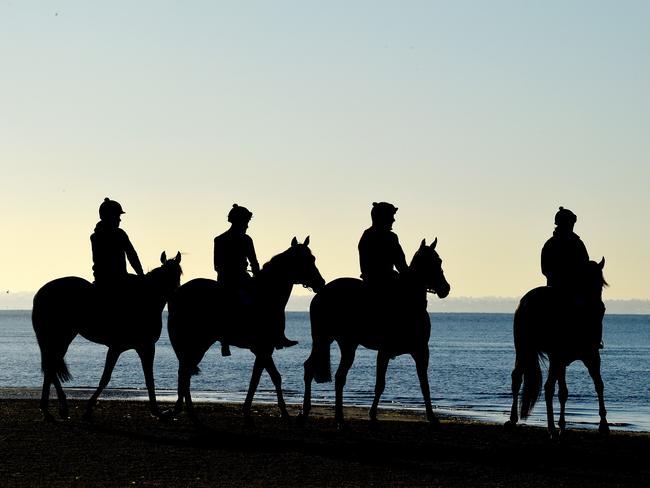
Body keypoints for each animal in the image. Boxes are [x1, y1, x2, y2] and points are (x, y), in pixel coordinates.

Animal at [32, 254, 181, 422]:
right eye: (167, 275)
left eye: (179, 274)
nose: (176, 297)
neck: (145, 301)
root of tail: (40, 293)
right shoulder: (127, 347)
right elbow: (108, 377)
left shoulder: (140, 347)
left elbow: (147, 378)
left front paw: (157, 411)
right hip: (61, 337)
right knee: (51, 367)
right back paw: (53, 410)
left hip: (60, 338)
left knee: (51, 367)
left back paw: (55, 410)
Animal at [167, 238, 324, 422]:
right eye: (307, 260)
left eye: (313, 258)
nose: (321, 283)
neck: (267, 294)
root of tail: (176, 294)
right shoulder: (264, 348)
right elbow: (270, 378)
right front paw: (281, 412)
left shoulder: (262, 350)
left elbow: (261, 378)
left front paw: (251, 409)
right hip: (198, 343)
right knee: (185, 372)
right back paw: (188, 411)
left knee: (184, 371)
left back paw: (181, 409)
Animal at [300, 239, 448, 428]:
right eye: (430, 263)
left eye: (439, 261)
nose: (446, 288)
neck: (408, 304)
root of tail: (320, 294)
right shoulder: (384, 352)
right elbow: (380, 384)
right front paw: (372, 414)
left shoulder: (421, 351)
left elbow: (424, 384)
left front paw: (431, 416)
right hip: (330, 341)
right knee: (323, 372)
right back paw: (318, 413)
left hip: (337, 343)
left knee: (328, 373)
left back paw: (325, 415)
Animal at [504, 260, 604, 438]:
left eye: (601, 284)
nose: (600, 308)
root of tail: (528, 302)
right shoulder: (589, 355)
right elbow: (597, 385)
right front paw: (603, 425)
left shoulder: (563, 360)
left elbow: (565, 391)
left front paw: (563, 426)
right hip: (550, 355)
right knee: (547, 386)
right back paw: (550, 427)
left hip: (525, 350)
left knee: (517, 378)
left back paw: (515, 420)